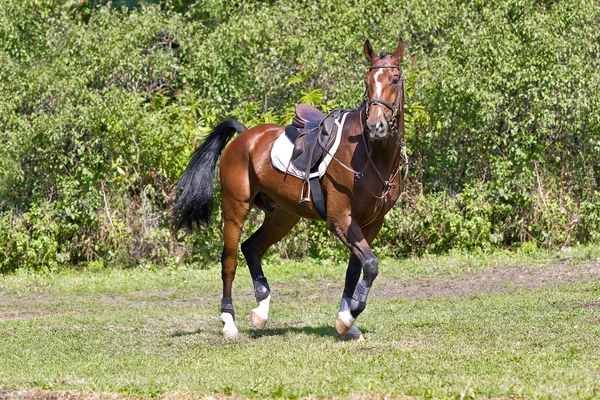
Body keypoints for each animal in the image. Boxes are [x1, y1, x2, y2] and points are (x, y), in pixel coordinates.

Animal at [175, 39, 408, 340]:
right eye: (368, 82)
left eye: (395, 79)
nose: (375, 126)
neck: (372, 156)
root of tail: (245, 135)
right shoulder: (341, 219)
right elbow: (370, 264)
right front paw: (348, 317)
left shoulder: (371, 223)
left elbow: (356, 269)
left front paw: (347, 321)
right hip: (235, 209)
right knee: (229, 260)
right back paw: (229, 321)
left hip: (283, 216)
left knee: (252, 248)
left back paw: (261, 311)